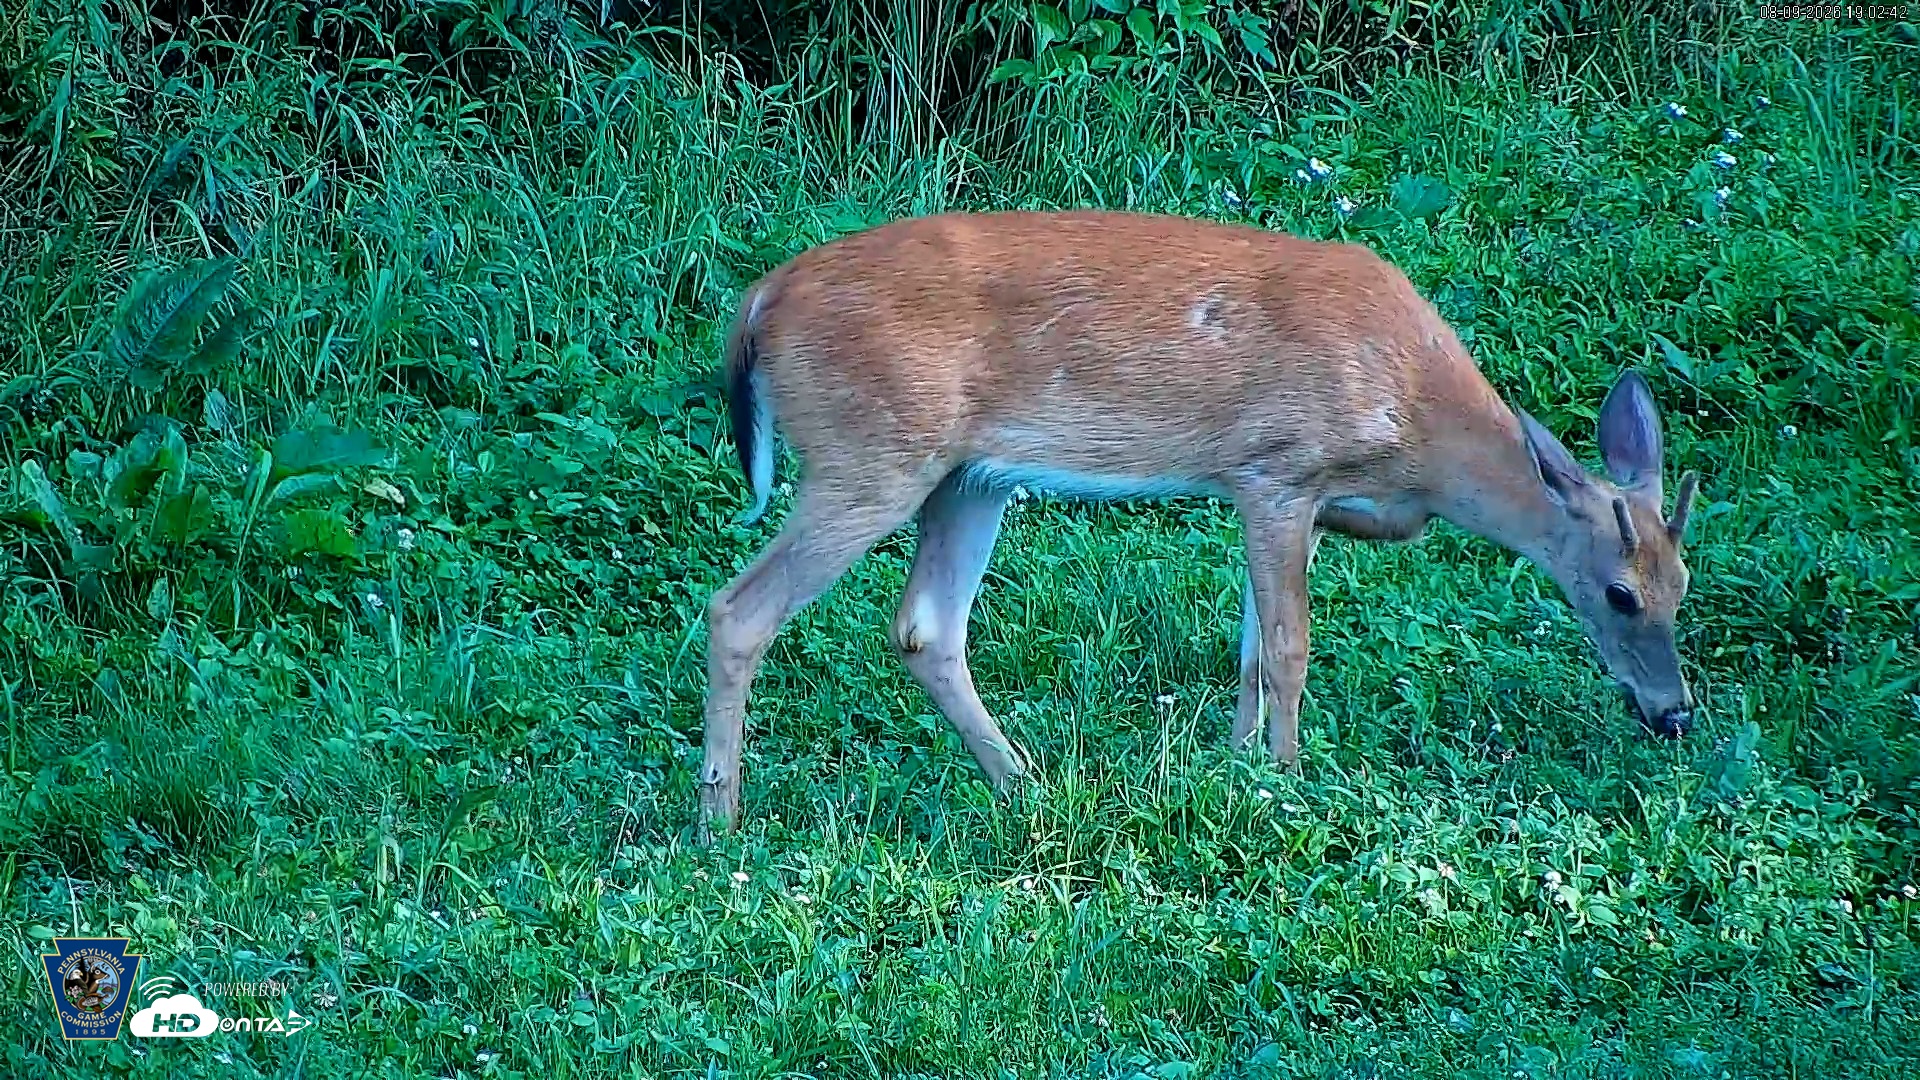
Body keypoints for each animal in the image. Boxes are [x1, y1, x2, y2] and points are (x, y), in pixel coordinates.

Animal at [696, 209, 1701, 833]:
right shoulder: (1278, 471)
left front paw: (1237, 767)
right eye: (1618, 593)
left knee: (925, 627)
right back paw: (721, 821)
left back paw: (1028, 782)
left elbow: (1252, 646)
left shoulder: (1281, 500)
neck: (1416, 424)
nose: (1675, 715)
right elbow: (1290, 647)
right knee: (740, 609)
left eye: (1682, 587)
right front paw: (1290, 780)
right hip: (870, 454)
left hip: (967, 477)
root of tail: (761, 301)